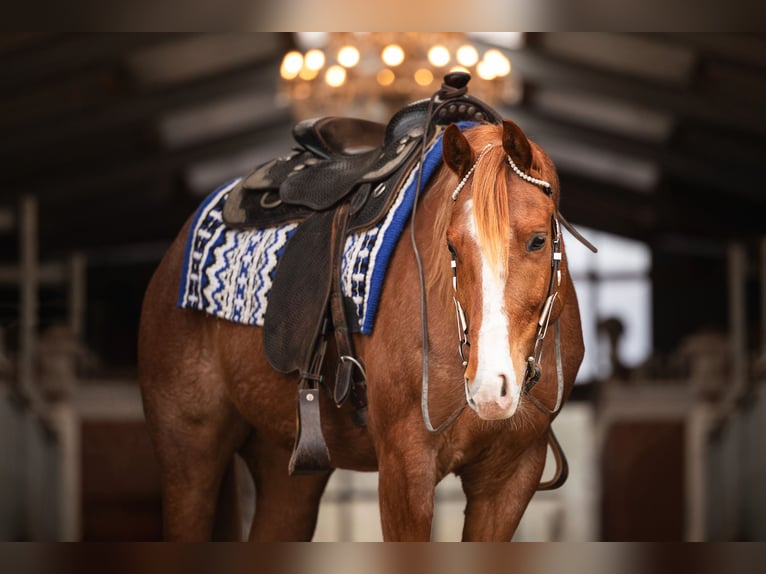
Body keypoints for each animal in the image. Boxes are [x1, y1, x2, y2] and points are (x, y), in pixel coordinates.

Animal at [138, 119, 584, 544]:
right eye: (452, 247)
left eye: (538, 240)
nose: (491, 387)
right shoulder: (405, 469)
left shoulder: (510, 478)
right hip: (188, 456)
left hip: (287, 467)